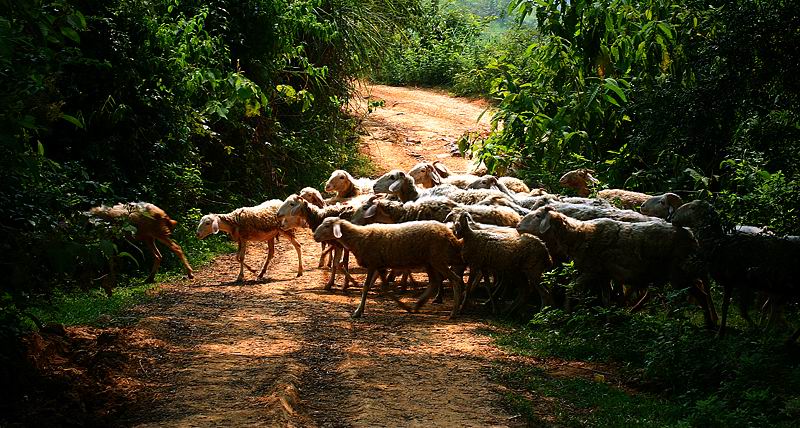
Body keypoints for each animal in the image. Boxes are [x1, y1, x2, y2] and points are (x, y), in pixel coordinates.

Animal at [310, 217, 466, 318]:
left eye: (327, 226)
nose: (315, 236)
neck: (358, 237)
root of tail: (450, 234)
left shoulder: (372, 264)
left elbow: (366, 287)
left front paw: (358, 312)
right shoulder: (380, 266)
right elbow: (383, 287)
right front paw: (403, 306)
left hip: (437, 260)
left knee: (455, 280)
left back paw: (454, 312)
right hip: (429, 262)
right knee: (434, 282)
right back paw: (417, 305)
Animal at [520, 207, 720, 328]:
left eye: (538, 216)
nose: (519, 225)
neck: (580, 235)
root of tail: (692, 236)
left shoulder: (591, 271)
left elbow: (570, 289)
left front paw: (566, 313)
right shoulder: (603, 275)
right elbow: (606, 299)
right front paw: (607, 321)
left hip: (680, 274)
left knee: (698, 296)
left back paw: (705, 325)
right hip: (686, 273)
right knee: (701, 294)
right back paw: (708, 325)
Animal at [668, 201, 800, 338]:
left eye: (692, 207)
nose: (672, 218)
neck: (718, 242)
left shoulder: (739, 281)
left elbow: (739, 309)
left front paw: (753, 328)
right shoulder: (731, 282)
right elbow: (726, 306)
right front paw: (721, 332)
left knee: (774, 306)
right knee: (774, 306)